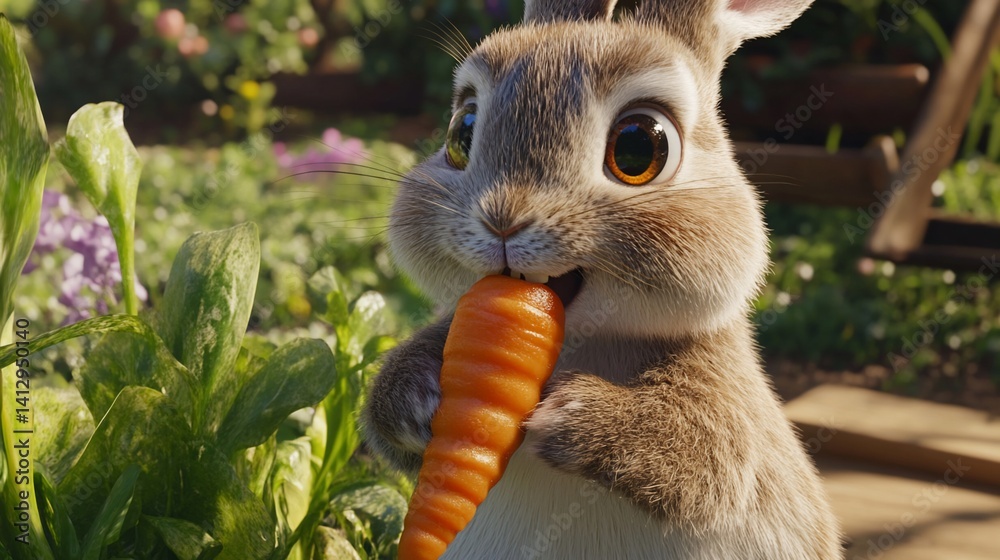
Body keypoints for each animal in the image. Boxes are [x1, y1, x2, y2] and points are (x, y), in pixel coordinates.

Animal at [362, 0, 843, 558]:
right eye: (462, 131)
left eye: (638, 147)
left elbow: (704, 462)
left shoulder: (724, 411)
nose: (502, 218)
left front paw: (566, 413)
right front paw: (419, 398)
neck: (580, 340)